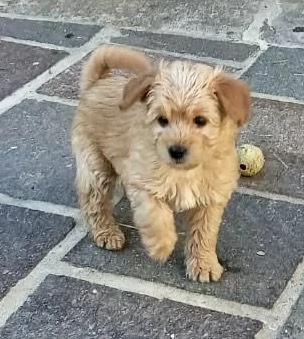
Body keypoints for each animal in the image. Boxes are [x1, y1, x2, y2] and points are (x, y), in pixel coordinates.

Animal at [72, 45, 251, 284]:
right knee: (93, 202)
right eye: (162, 120)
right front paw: (161, 246)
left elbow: (204, 232)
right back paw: (108, 233)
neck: (185, 172)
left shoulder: (211, 198)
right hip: (95, 165)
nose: (176, 150)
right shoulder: (142, 182)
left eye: (200, 121)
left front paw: (203, 263)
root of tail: (97, 82)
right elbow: (155, 216)